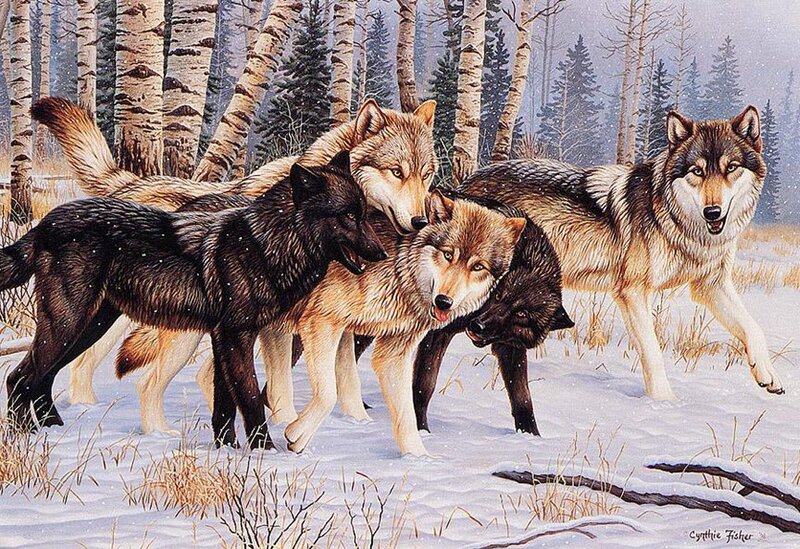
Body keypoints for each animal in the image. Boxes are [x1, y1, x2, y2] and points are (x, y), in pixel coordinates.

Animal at [1, 152, 386, 449]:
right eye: (348, 215)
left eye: (365, 212)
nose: (381, 254)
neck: (265, 246)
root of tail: (44, 223)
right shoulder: (235, 336)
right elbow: (250, 398)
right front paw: (264, 450)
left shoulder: (221, 337)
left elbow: (225, 405)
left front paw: (227, 449)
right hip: (69, 324)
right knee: (19, 377)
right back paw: (26, 436)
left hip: (87, 327)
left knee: (43, 377)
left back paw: (52, 429)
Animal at [32, 95, 437, 410]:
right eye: (396, 171)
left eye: (426, 175)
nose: (421, 220)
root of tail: (132, 184)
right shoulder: (270, 328)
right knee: (82, 363)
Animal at [459, 106, 782, 400]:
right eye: (697, 171)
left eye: (731, 168)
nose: (712, 211)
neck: (678, 223)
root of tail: (464, 184)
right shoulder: (633, 292)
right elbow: (652, 352)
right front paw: (665, 404)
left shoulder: (711, 285)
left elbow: (753, 328)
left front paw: (768, 376)